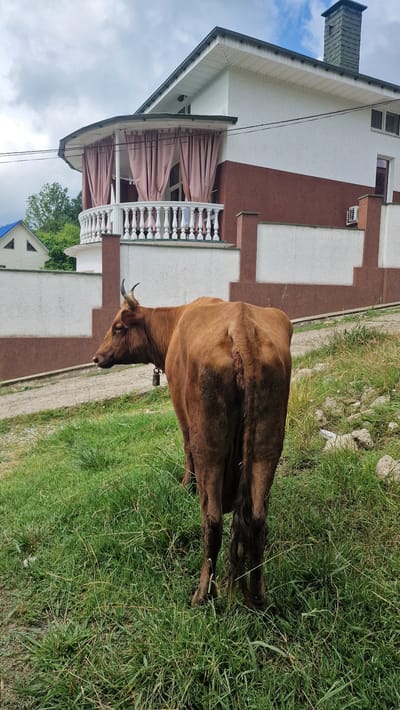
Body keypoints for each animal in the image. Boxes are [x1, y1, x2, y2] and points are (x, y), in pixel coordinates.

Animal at [93, 282, 292, 608]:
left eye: (118, 327)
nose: (97, 357)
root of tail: (242, 325)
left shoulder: (181, 409)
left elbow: (185, 446)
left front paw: (187, 484)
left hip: (209, 448)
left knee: (211, 520)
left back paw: (202, 594)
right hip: (267, 445)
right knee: (257, 518)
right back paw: (257, 596)